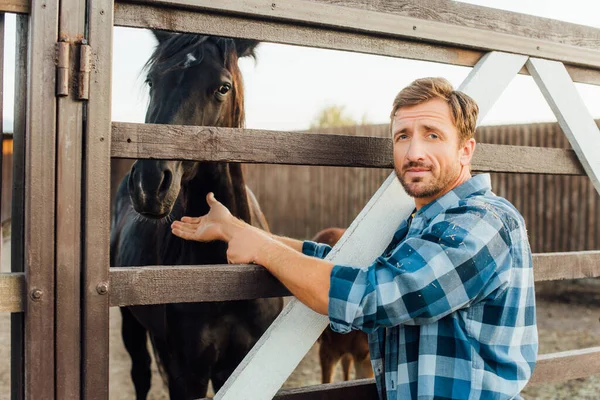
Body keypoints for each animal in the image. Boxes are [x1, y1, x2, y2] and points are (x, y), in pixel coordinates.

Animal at [110, 32, 284, 400]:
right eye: (151, 81)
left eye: (223, 87)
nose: (148, 183)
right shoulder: (187, 375)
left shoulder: (238, 365)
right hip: (130, 322)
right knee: (140, 374)